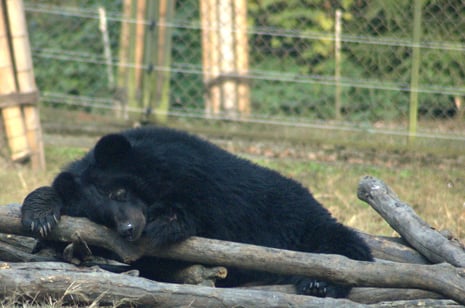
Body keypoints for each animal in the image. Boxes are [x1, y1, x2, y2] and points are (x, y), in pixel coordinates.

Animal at [20, 125, 374, 298]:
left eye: (119, 192)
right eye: (101, 216)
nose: (129, 230)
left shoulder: (202, 181)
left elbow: (199, 210)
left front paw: (163, 223)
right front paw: (40, 217)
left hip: (304, 224)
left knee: (341, 247)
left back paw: (317, 283)